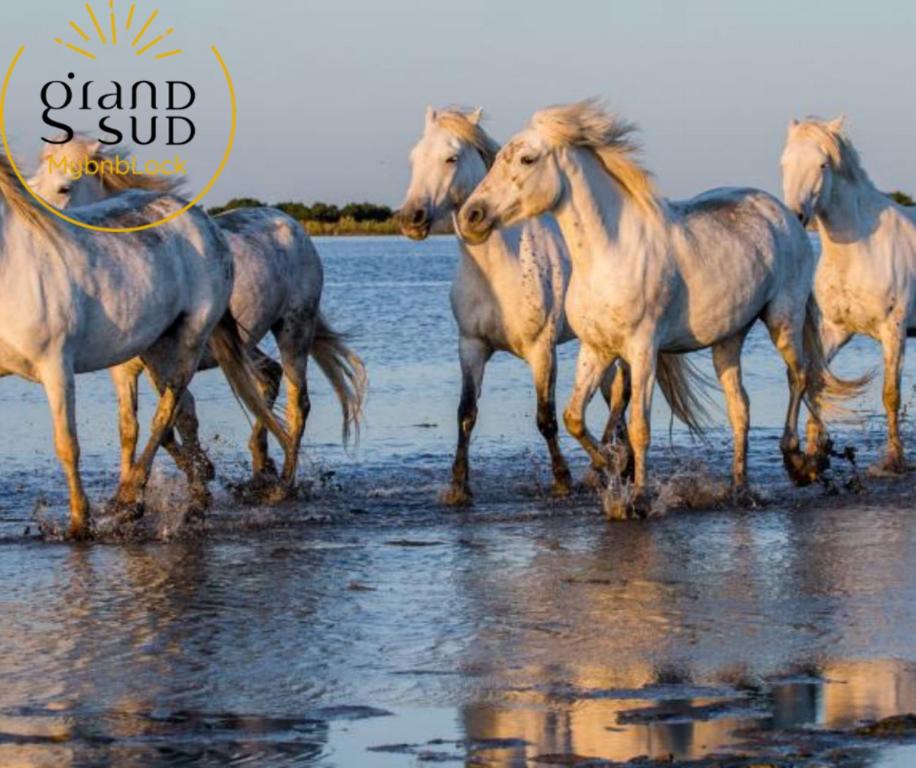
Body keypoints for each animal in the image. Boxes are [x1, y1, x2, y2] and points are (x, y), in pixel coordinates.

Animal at [0, 148, 290, 536]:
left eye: (64, 187)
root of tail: (202, 220)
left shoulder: (57, 367)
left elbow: (68, 445)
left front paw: (80, 524)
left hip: (192, 338)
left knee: (167, 412)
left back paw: (133, 499)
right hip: (156, 346)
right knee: (181, 413)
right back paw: (194, 501)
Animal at [32, 138, 368, 498]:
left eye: (64, 188)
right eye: (32, 184)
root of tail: (291, 225)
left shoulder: (166, 359)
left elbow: (175, 419)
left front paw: (197, 476)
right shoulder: (124, 370)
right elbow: (133, 429)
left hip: (294, 328)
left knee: (297, 402)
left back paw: (283, 484)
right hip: (245, 344)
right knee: (268, 377)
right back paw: (261, 466)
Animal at [398, 106, 708, 504]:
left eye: (451, 157)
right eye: (413, 158)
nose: (412, 218)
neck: (499, 268)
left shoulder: (542, 350)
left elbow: (545, 417)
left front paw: (562, 480)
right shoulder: (471, 346)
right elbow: (466, 413)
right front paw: (458, 487)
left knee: (621, 395)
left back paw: (604, 467)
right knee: (613, 393)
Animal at [462, 99, 864, 512]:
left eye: (526, 159)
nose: (471, 216)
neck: (608, 254)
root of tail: (786, 214)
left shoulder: (642, 349)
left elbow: (639, 426)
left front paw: (636, 496)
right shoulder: (596, 349)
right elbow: (574, 416)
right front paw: (612, 466)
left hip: (783, 317)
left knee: (799, 376)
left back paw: (800, 464)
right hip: (729, 338)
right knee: (741, 408)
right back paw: (740, 488)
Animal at [780, 118, 916, 474]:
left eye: (822, 164)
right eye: (784, 163)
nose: (796, 217)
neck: (861, 250)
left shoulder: (894, 331)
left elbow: (890, 394)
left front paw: (894, 460)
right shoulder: (835, 329)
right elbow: (816, 379)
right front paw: (812, 453)